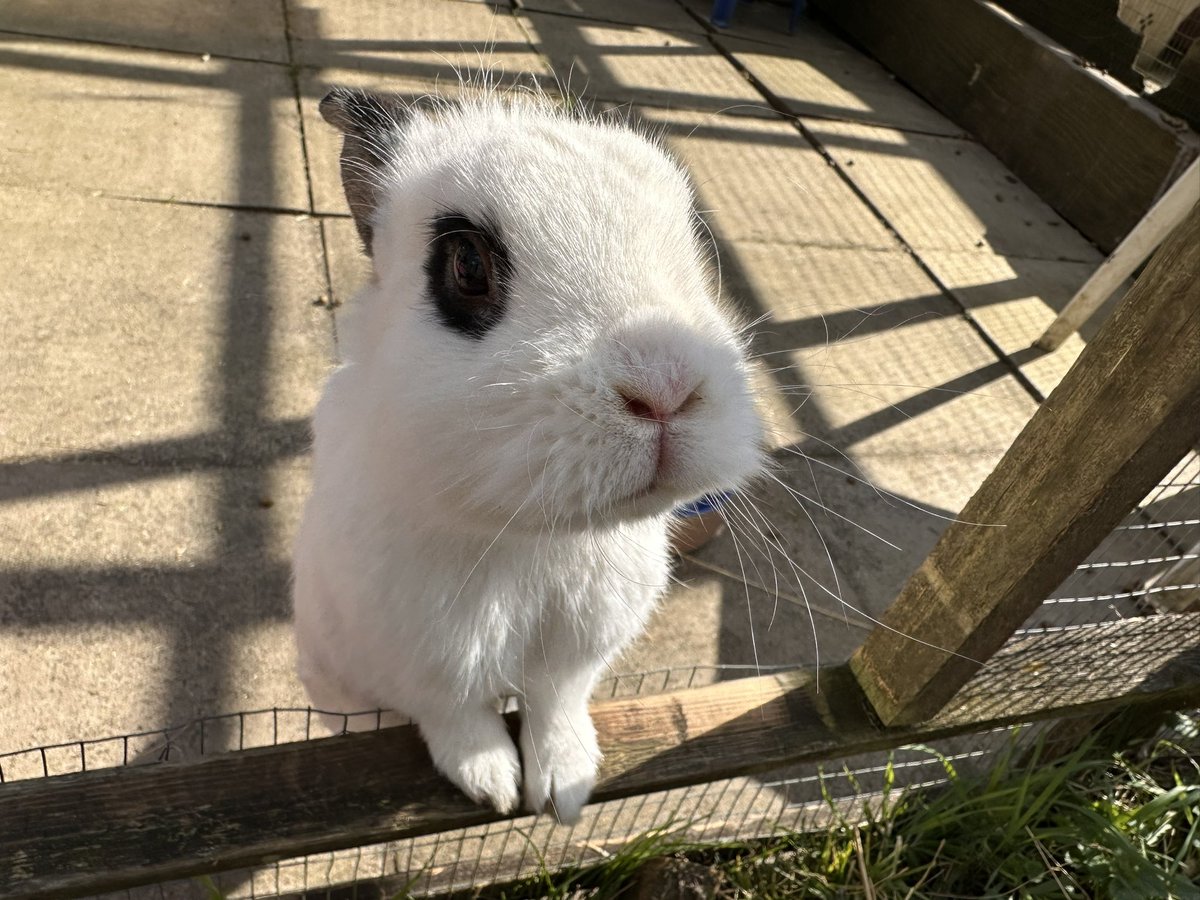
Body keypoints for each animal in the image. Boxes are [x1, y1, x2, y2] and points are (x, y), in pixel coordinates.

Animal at [292, 83, 765, 824]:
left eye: (690, 246)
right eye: (467, 266)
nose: (665, 386)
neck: (529, 537)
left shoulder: (574, 659)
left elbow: (556, 705)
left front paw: (566, 790)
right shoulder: (420, 659)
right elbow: (456, 718)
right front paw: (493, 785)